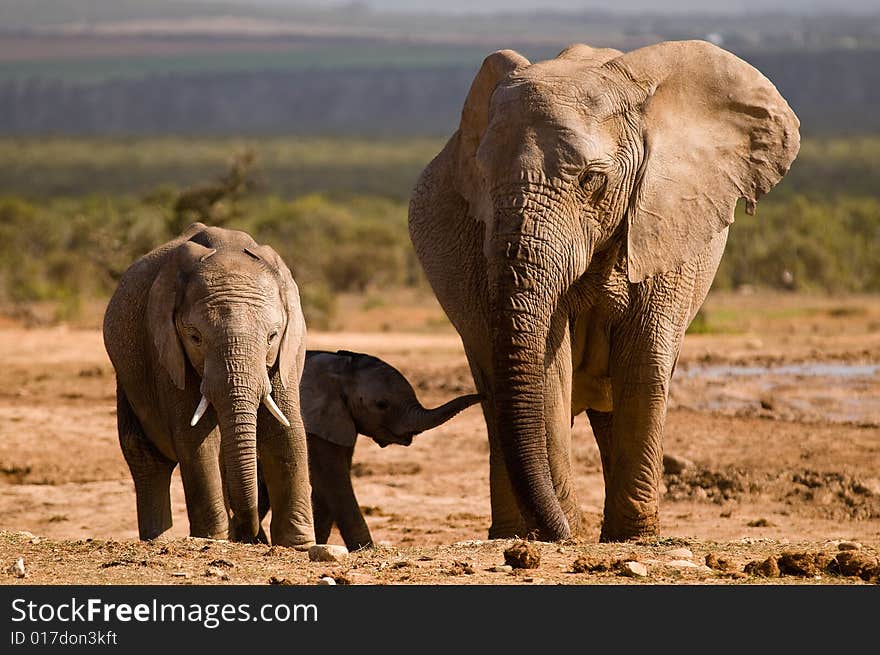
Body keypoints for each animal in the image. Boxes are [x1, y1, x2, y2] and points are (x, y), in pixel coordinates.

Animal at [104, 223, 314, 544]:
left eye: (272, 336)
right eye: (195, 337)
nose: (253, 535)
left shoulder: (289, 352)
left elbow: (285, 431)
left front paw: (298, 544)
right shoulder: (165, 352)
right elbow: (198, 439)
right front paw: (212, 540)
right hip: (127, 378)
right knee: (145, 457)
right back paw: (157, 541)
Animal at [260, 352, 482, 552]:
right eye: (381, 404)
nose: (483, 395)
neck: (338, 367)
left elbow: (329, 484)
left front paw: (321, 543)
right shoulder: (316, 422)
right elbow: (334, 479)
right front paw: (365, 549)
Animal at [410, 39, 800, 544]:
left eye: (591, 179)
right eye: (481, 176)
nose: (564, 534)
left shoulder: (666, 228)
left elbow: (644, 360)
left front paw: (631, 538)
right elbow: (549, 372)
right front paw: (565, 533)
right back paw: (512, 535)